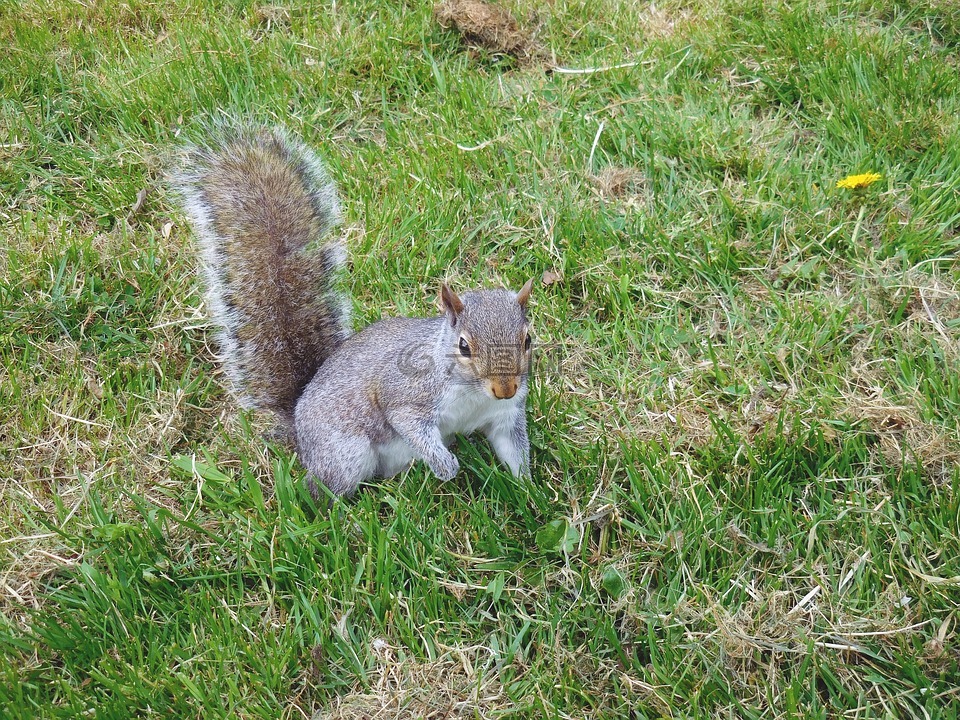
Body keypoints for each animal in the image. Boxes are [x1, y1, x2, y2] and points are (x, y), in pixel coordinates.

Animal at [172, 124, 532, 498]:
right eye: (464, 346)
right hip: (344, 454)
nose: (505, 388)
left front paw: (528, 491)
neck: (473, 393)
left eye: (527, 340)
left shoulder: (505, 415)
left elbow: (513, 449)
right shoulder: (406, 393)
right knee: (325, 490)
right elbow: (409, 423)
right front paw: (445, 467)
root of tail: (298, 429)